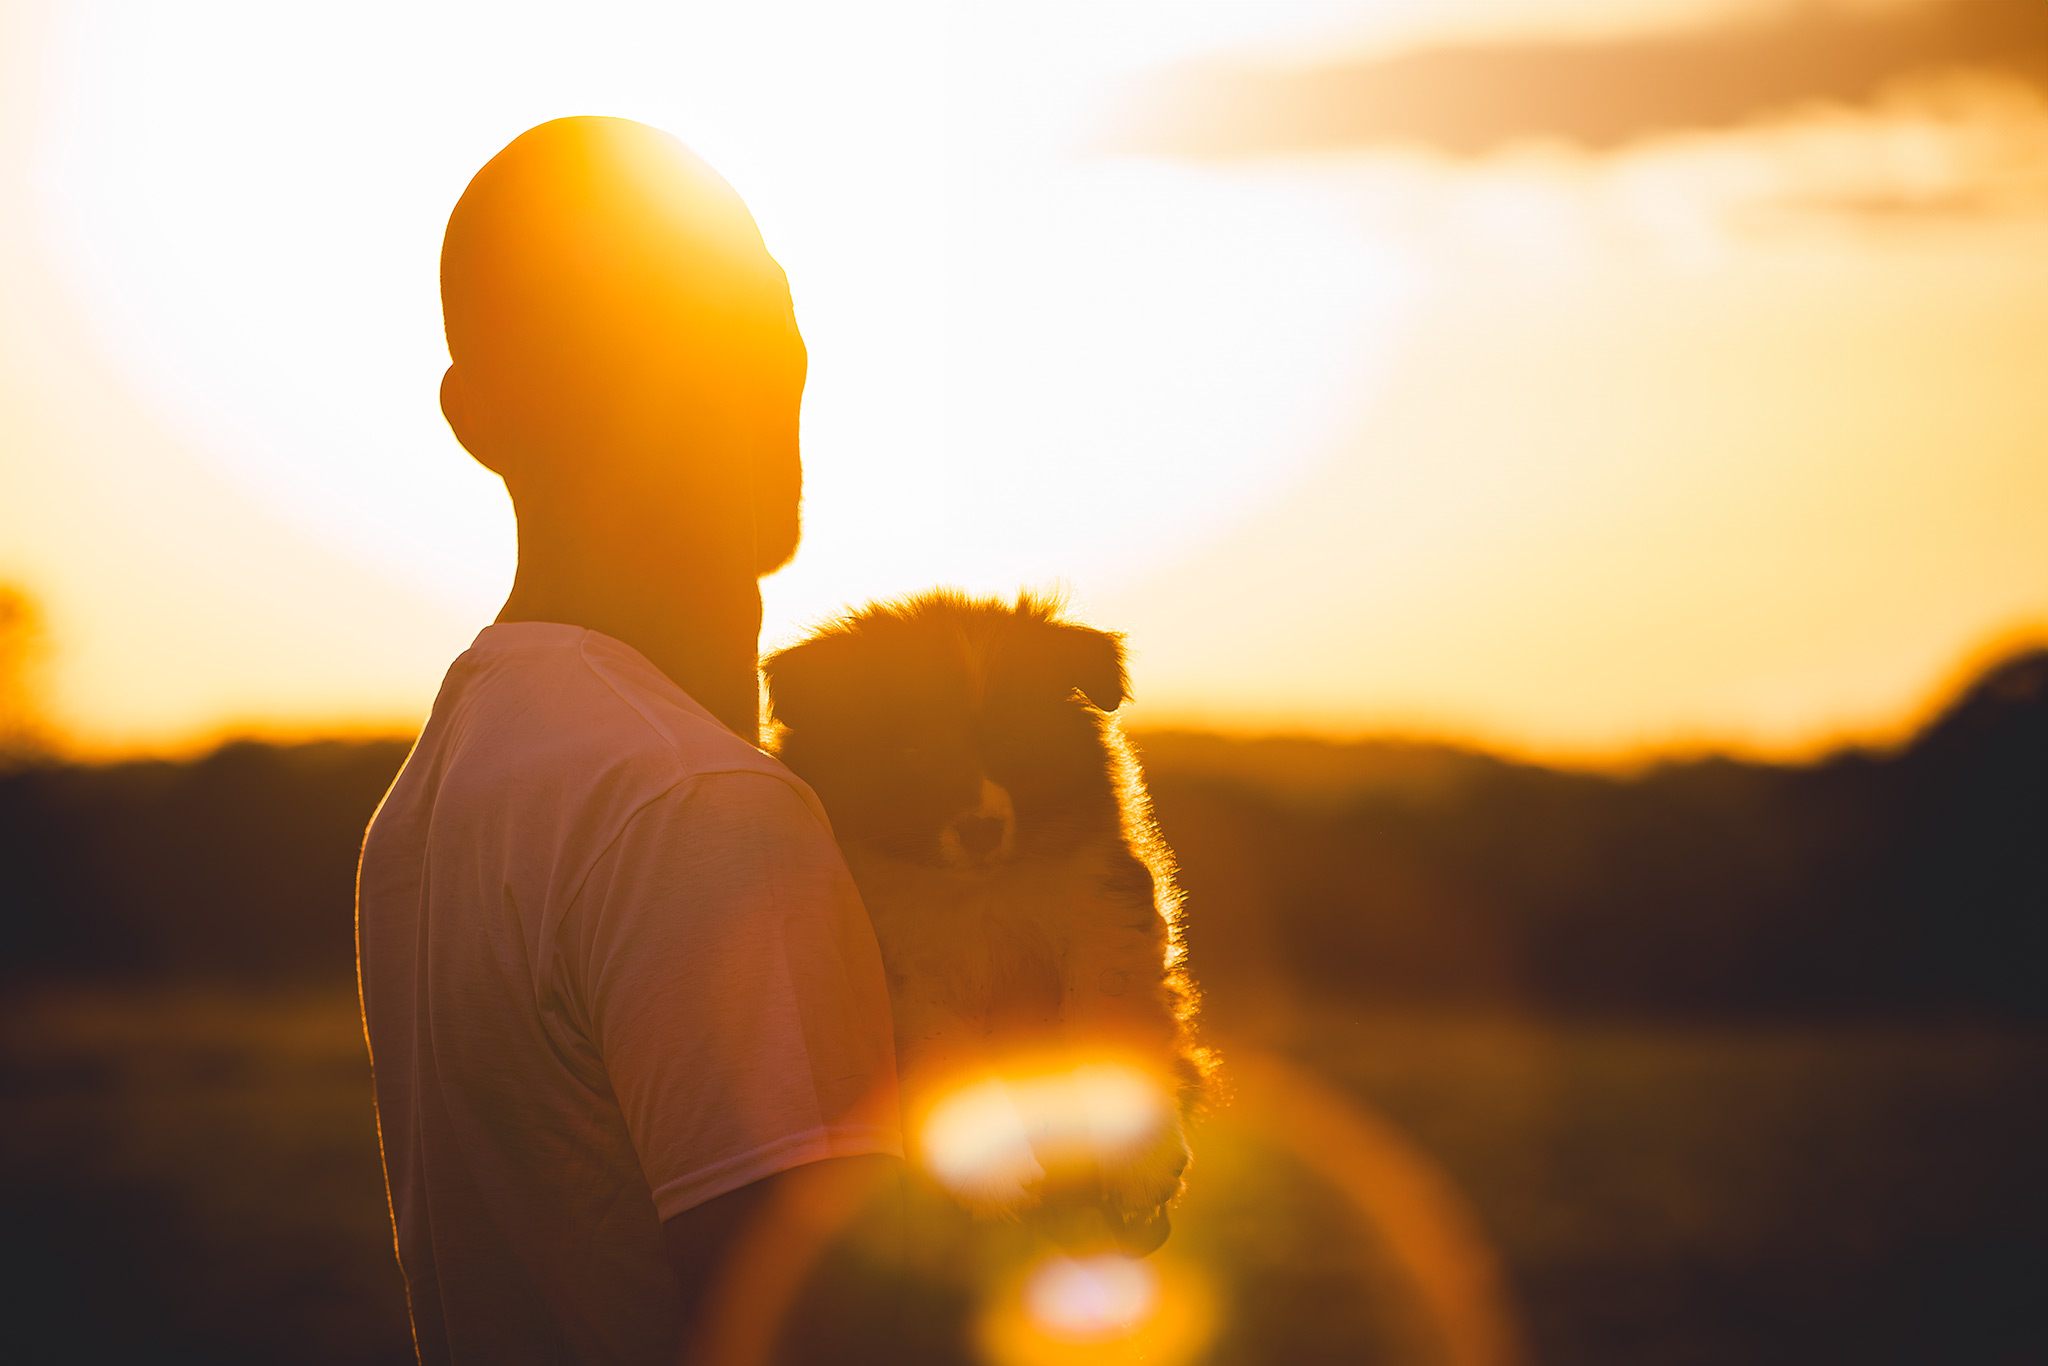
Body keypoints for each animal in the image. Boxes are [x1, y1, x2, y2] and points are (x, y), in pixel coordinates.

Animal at [770, 589, 1212, 1253]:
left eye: (1016, 742)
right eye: (911, 750)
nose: (981, 830)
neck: (973, 893)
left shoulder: (1101, 919)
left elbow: (1110, 1027)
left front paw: (1139, 1164)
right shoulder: (901, 978)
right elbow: (950, 1063)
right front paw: (997, 1180)